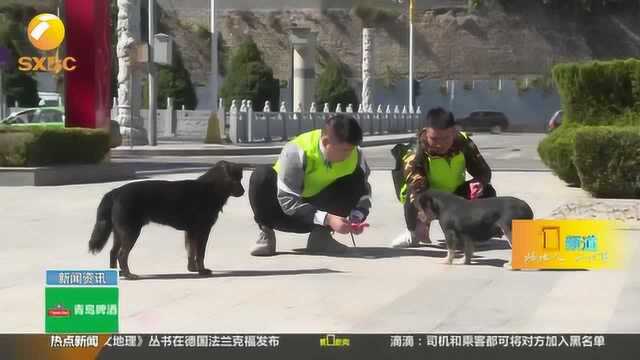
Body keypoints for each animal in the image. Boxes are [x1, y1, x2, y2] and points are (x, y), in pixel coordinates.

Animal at [86, 160, 244, 278]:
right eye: (236, 179)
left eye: (241, 179)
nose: (243, 191)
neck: (211, 188)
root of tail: (115, 192)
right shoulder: (202, 230)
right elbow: (200, 253)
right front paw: (202, 271)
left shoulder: (190, 231)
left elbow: (190, 250)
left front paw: (192, 268)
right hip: (130, 231)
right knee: (121, 255)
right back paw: (129, 275)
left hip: (119, 232)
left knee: (113, 252)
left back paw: (117, 274)